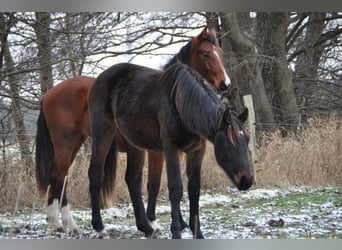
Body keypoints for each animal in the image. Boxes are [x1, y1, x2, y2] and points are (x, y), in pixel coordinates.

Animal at [34, 26, 230, 230]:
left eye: (220, 52)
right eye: (206, 53)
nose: (225, 83)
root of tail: (48, 95)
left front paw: (177, 221)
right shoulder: (157, 152)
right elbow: (154, 184)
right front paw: (153, 220)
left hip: (76, 142)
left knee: (61, 177)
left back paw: (63, 222)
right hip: (66, 143)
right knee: (59, 175)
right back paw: (60, 222)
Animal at [87, 61, 254, 239]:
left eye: (247, 140)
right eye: (229, 143)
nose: (247, 180)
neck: (181, 104)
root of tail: (99, 78)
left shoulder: (197, 150)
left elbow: (194, 188)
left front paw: (197, 232)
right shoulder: (171, 148)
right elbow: (176, 188)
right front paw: (176, 232)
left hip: (134, 143)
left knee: (133, 179)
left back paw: (146, 228)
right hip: (102, 133)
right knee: (95, 174)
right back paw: (99, 227)